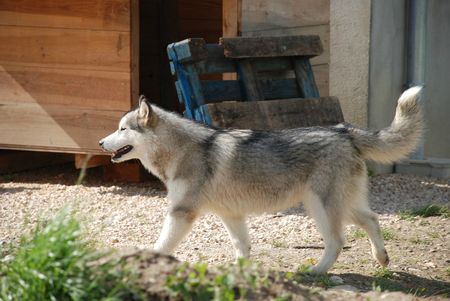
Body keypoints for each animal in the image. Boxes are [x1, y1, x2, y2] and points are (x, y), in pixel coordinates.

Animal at [98, 86, 422, 272]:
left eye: (122, 129)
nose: (100, 142)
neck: (180, 149)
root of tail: (344, 130)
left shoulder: (181, 213)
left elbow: (161, 246)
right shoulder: (231, 215)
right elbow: (242, 248)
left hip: (321, 208)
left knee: (337, 241)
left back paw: (316, 271)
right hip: (339, 205)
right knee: (372, 220)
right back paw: (382, 259)